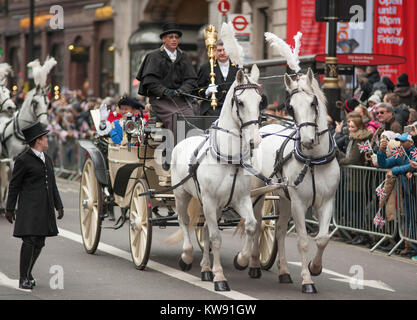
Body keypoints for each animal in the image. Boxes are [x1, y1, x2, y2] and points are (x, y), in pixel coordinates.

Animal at [169, 63, 260, 292]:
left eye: (260, 100)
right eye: (240, 102)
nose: (255, 141)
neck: (228, 158)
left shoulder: (240, 199)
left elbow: (251, 225)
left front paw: (241, 260)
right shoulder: (209, 200)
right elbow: (217, 237)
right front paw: (220, 278)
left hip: (213, 206)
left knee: (204, 229)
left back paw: (205, 269)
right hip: (182, 194)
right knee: (184, 221)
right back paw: (186, 256)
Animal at [242, 69, 340, 294]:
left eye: (313, 103)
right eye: (291, 107)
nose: (307, 140)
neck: (313, 161)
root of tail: (262, 130)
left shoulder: (326, 202)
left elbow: (322, 239)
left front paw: (315, 267)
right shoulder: (299, 204)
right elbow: (303, 241)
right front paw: (307, 281)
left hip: (283, 198)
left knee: (277, 230)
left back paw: (284, 272)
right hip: (259, 192)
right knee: (257, 224)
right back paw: (252, 263)